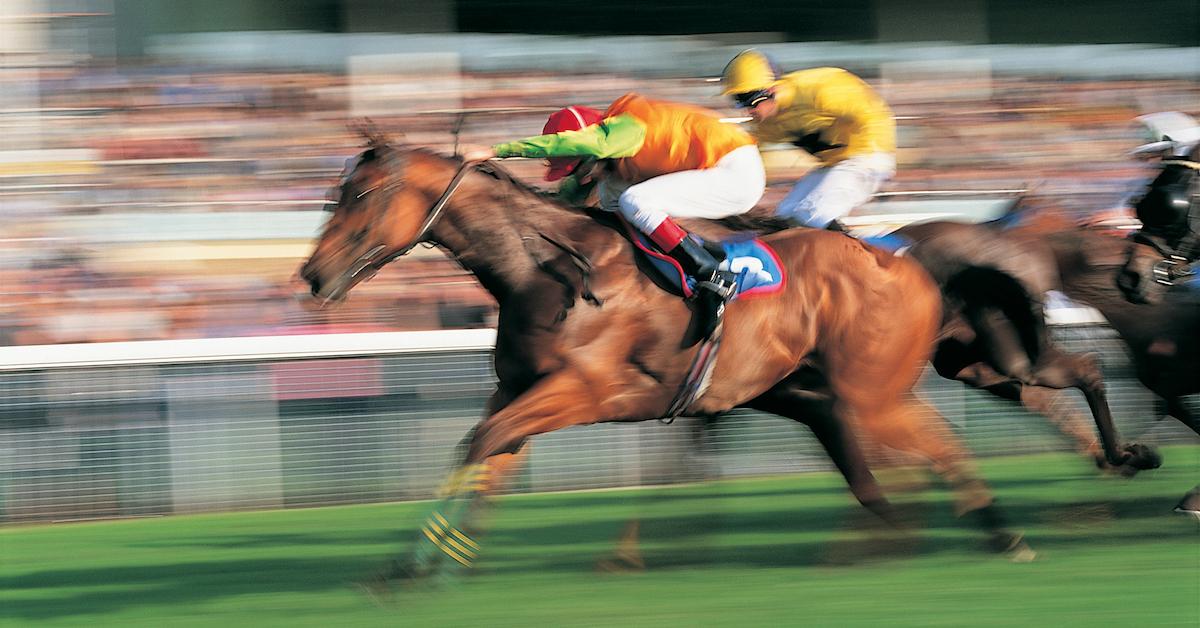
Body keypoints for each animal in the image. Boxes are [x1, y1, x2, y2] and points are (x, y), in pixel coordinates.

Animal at [302, 139, 1032, 588]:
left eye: (360, 197)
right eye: (335, 194)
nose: (312, 276)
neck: (544, 268)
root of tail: (906, 261)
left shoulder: (586, 391)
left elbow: (483, 444)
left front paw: (418, 567)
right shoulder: (518, 389)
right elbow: (484, 454)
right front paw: (420, 567)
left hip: (867, 393)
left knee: (937, 444)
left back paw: (992, 534)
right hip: (823, 397)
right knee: (884, 467)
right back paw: (899, 538)